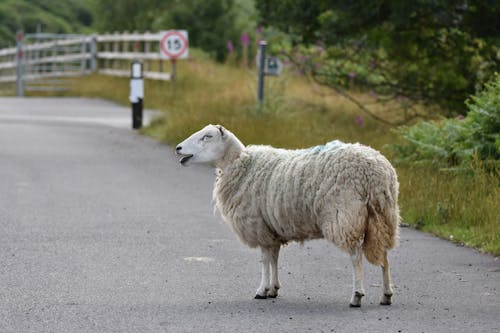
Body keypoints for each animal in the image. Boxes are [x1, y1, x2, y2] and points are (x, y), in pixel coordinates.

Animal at [176, 124, 398, 306]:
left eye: (207, 136)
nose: (178, 148)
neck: (241, 164)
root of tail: (376, 171)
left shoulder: (258, 225)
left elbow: (265, 260)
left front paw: (261, 290)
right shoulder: (271, 228)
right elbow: (274, 258)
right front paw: (273, 289)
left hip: (345, 215)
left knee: (355, 257)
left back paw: (356, 296)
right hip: (384, 217)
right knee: (385, 257)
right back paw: (386, 295)